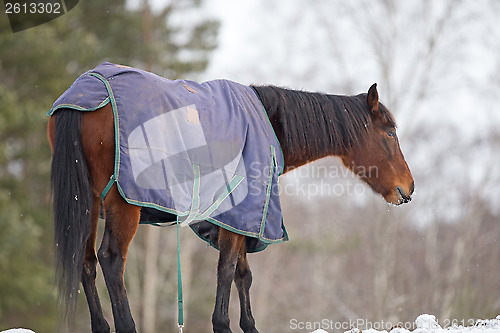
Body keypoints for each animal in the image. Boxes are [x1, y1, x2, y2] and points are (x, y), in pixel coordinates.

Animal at [47, 65, 414, 332]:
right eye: (390, 133)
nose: (408, 188)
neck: (269, 123)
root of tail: (90, 88)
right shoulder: (239, 214)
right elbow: (226, 271)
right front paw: (223, 324)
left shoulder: (242, 220)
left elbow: (242, 274)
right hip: (123, 205)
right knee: (111, 260)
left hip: (89, 201)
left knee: (86, 261)